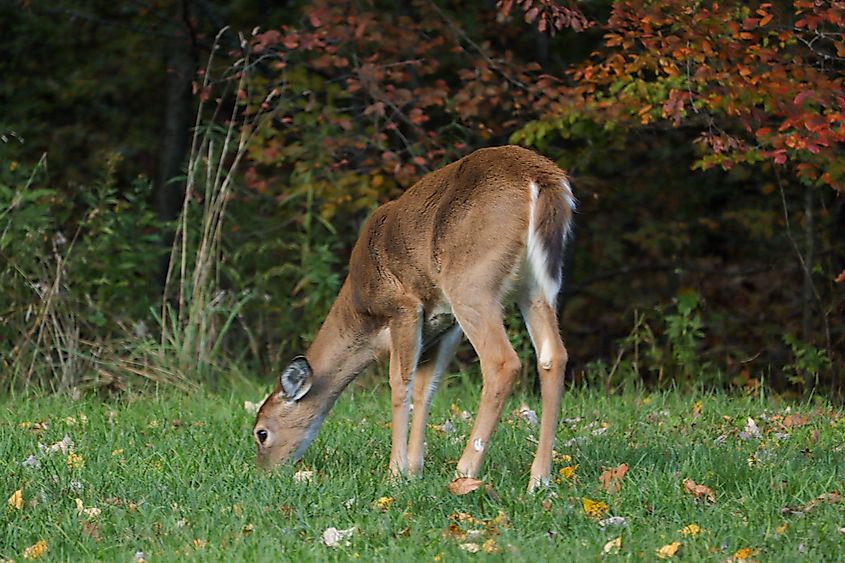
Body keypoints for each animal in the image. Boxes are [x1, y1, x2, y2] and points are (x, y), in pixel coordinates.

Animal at [253, 145, 575, 492]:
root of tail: (542, 178)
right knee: (553, 356)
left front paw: (395, 472)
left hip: (471, 282)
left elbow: (399, 383)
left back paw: (465, 470)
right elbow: (425, 387)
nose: (265, 475)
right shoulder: (444, 323)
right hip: (536, 287)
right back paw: (539, 480)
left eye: (261, 433)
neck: (362, 315)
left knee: (502, 362)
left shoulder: (402, 307)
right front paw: (415, 470)